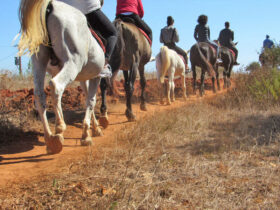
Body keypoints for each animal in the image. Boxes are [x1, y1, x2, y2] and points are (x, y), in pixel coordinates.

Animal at [18, 0, 110, 154]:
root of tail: (51, 6)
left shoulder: (83, 77)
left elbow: (87, 99)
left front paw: (94, 129)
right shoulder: (96, 76)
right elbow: (91, 101)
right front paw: (87, 135)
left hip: (39, 61)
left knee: (39, 94)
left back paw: (51, 138)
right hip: (73, 62)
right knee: (56, 85)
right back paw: (60, 126)